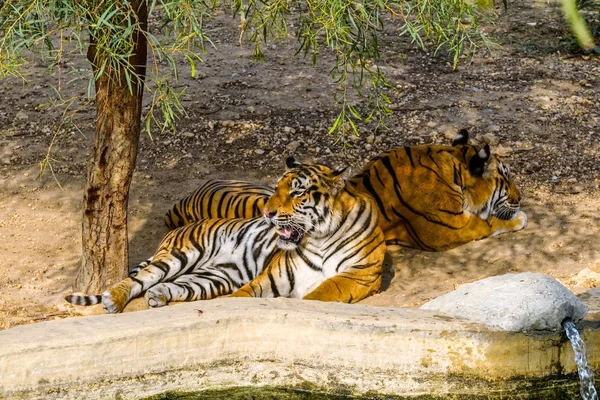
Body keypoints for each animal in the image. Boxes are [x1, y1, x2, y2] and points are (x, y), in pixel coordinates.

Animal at [64, 157, 384, 312]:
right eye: (276, 187)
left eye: (297, 191)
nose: (267, 212)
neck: (320, 237)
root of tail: (178, 227)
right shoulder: (273, 276)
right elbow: (243, 296)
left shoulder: (358, 275)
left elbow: (322, 291)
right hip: (179, 256)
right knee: (137, 280)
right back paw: (114, 301)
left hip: (212, 277)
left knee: (171, 285)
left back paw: (158, 296)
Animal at [163, 130, 524, 252]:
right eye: (506, 177)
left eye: (293, 192)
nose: (521, 198)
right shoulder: (450, 228)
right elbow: (489, 223)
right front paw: (519, 219)